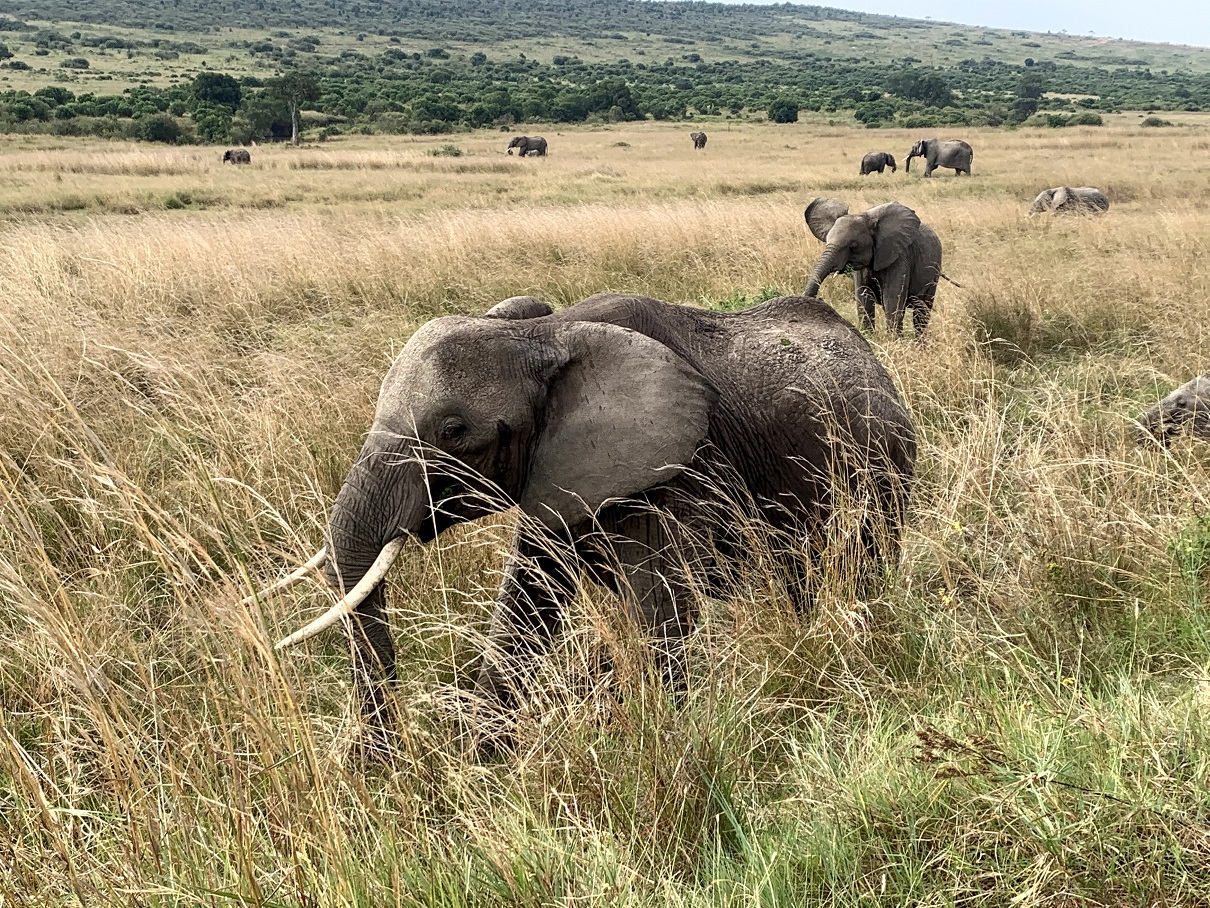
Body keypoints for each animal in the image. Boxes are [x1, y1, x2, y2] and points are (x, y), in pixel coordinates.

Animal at [251, 292, 917, 753]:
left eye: (453, 432)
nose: (381, 767)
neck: (543, 334)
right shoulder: (555, 471)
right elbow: (525, 607)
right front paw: (484, 761)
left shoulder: (677, 469)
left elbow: (663, 610)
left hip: (885, 466)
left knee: (865, 559)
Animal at [804, 198, 942, 339]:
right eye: (826, 241)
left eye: (853, 246)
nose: (819, 299)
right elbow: (863, 298)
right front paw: (869, 336)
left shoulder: (899, 257)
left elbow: (892, 299)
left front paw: (894, 340)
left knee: (921, 311)